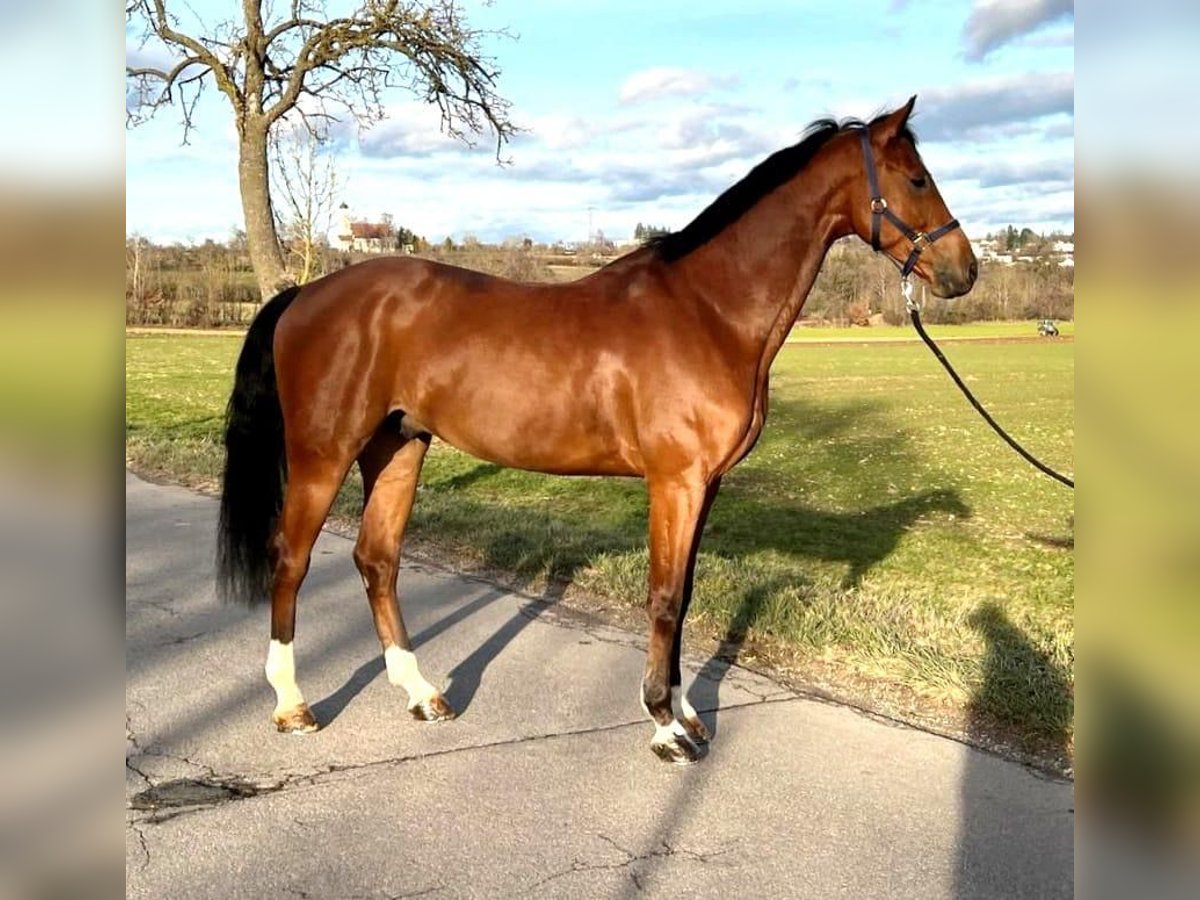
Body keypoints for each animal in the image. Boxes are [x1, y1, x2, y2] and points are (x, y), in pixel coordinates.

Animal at [218, 95, 974, 763]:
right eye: (916, 177)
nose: (964, 270)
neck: (708, 311)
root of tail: (306, 295)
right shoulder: (675, 483)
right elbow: (663, 597)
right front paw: (666, 727)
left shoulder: (706, 487)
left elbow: (685, 595)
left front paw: (687, 714)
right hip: (323, 454)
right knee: (290, 559)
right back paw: (292, 705)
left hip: (398, 446)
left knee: (377, 560)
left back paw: (423, 694)